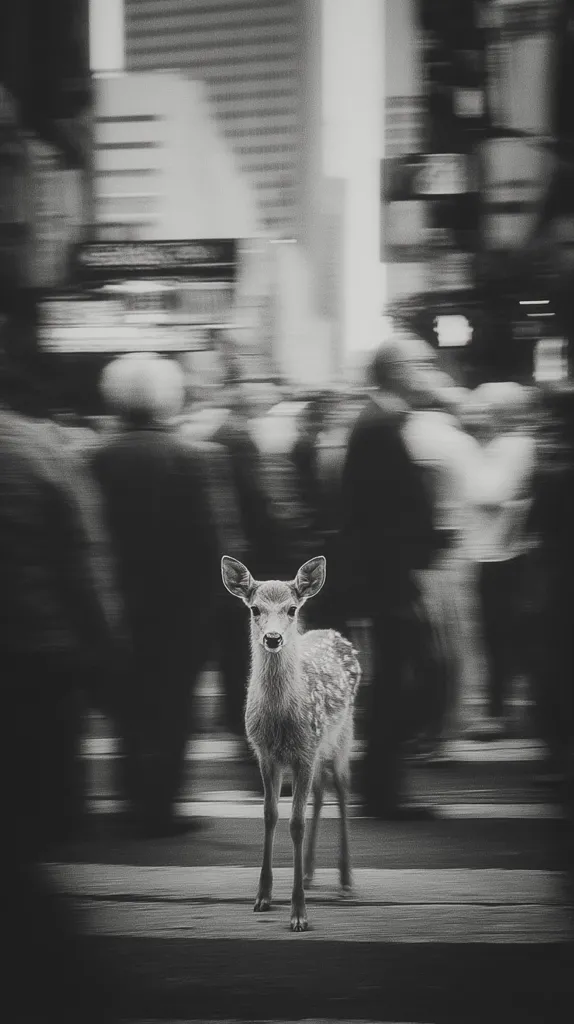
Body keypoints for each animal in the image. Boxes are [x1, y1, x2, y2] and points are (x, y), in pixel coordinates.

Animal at [221, 554, 361, 932]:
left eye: (292, 609)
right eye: (254, 608)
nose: (273, 638)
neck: (281, 720)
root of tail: (336, 635)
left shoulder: (304, 750)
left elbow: (295, 824)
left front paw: (299, 914)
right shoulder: (266, 753)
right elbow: (270, 815)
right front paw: (263, 897)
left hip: (343, 733)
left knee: (342, 789)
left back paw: (346, 882)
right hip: (318, 748)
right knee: (321, 790)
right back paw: (311, 874)